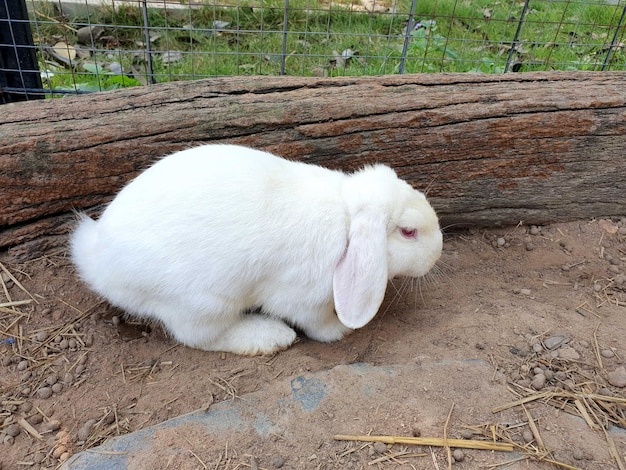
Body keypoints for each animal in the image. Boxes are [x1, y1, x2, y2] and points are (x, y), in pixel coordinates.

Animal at [70, 145, 442, 354]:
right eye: (408, 232)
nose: (438, 251)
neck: (346, 219)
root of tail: (98, 262)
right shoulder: (303, 296)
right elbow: (317, 324)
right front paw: (341, 330)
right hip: (204, 302)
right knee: (198, 336)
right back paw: (270, 337)